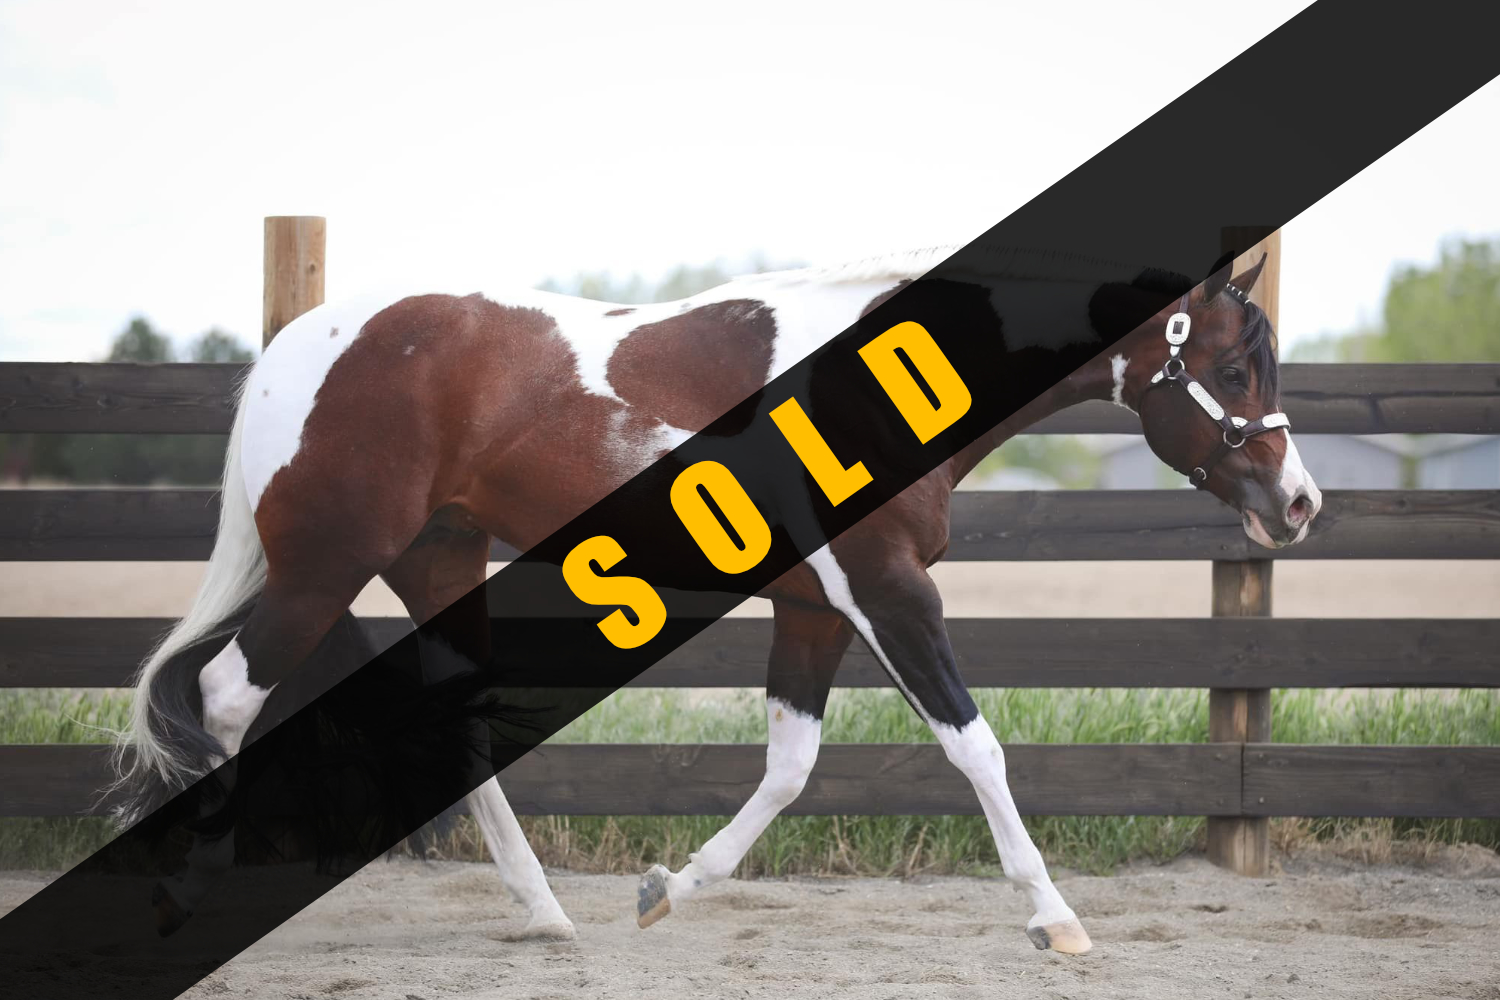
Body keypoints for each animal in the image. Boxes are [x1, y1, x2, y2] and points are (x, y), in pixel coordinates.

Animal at [117, 245, 1320, 953]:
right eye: (1237, 368)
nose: (1299, 503)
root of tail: (297, 349)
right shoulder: (888, 592)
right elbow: (978, 749)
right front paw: (1058, 919)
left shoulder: (818, 611)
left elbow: (789, 767)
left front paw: (666, 888)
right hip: (325, 564)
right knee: (224, 700)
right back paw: (186, 895)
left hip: (436, 562)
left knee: (446, 726)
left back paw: (546, 914)